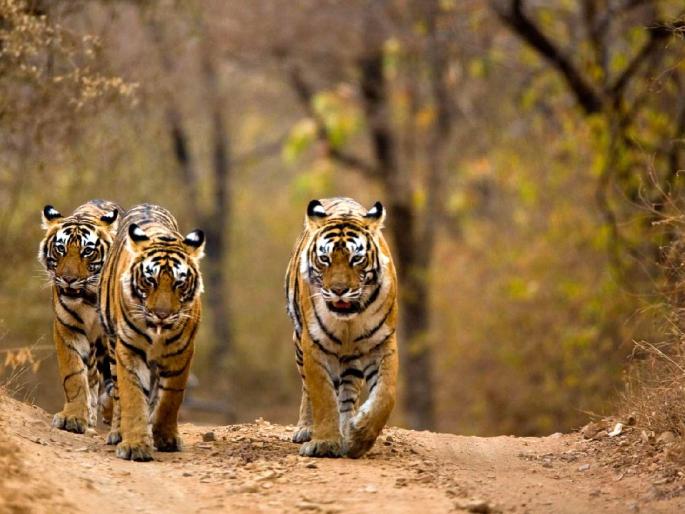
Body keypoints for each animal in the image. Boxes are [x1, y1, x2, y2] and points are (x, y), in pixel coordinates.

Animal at [38, 200, 121, 433]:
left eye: (87, 252)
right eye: (60, 249)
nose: (68, 279)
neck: (89, 297)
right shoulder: (67, 329)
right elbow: (74, 375)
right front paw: (73, 417)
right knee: (92, 377)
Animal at [98, 204, 205, 461]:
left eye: (179, 283)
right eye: (150, 281)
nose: (162, 314)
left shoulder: (181, 352)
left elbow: (170, 398)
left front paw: (166, 438)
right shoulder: (129, 349)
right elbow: (133, 396)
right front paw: (135, 445)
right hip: (112, 345)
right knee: (118, 393)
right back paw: (117, 432)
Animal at [285, 197, 399, 458]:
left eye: (356, 259)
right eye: (325, 259)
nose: (338, 290)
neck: (349, 319)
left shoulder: (383, 342)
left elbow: (385, 395)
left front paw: (359, 438)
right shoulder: (313, 343)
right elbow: (323, 396)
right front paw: (325, 443)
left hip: (352, 359)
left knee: (347, 396)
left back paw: (347, 430)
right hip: (299, 343)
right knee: (308, 388)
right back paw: (307, 428)